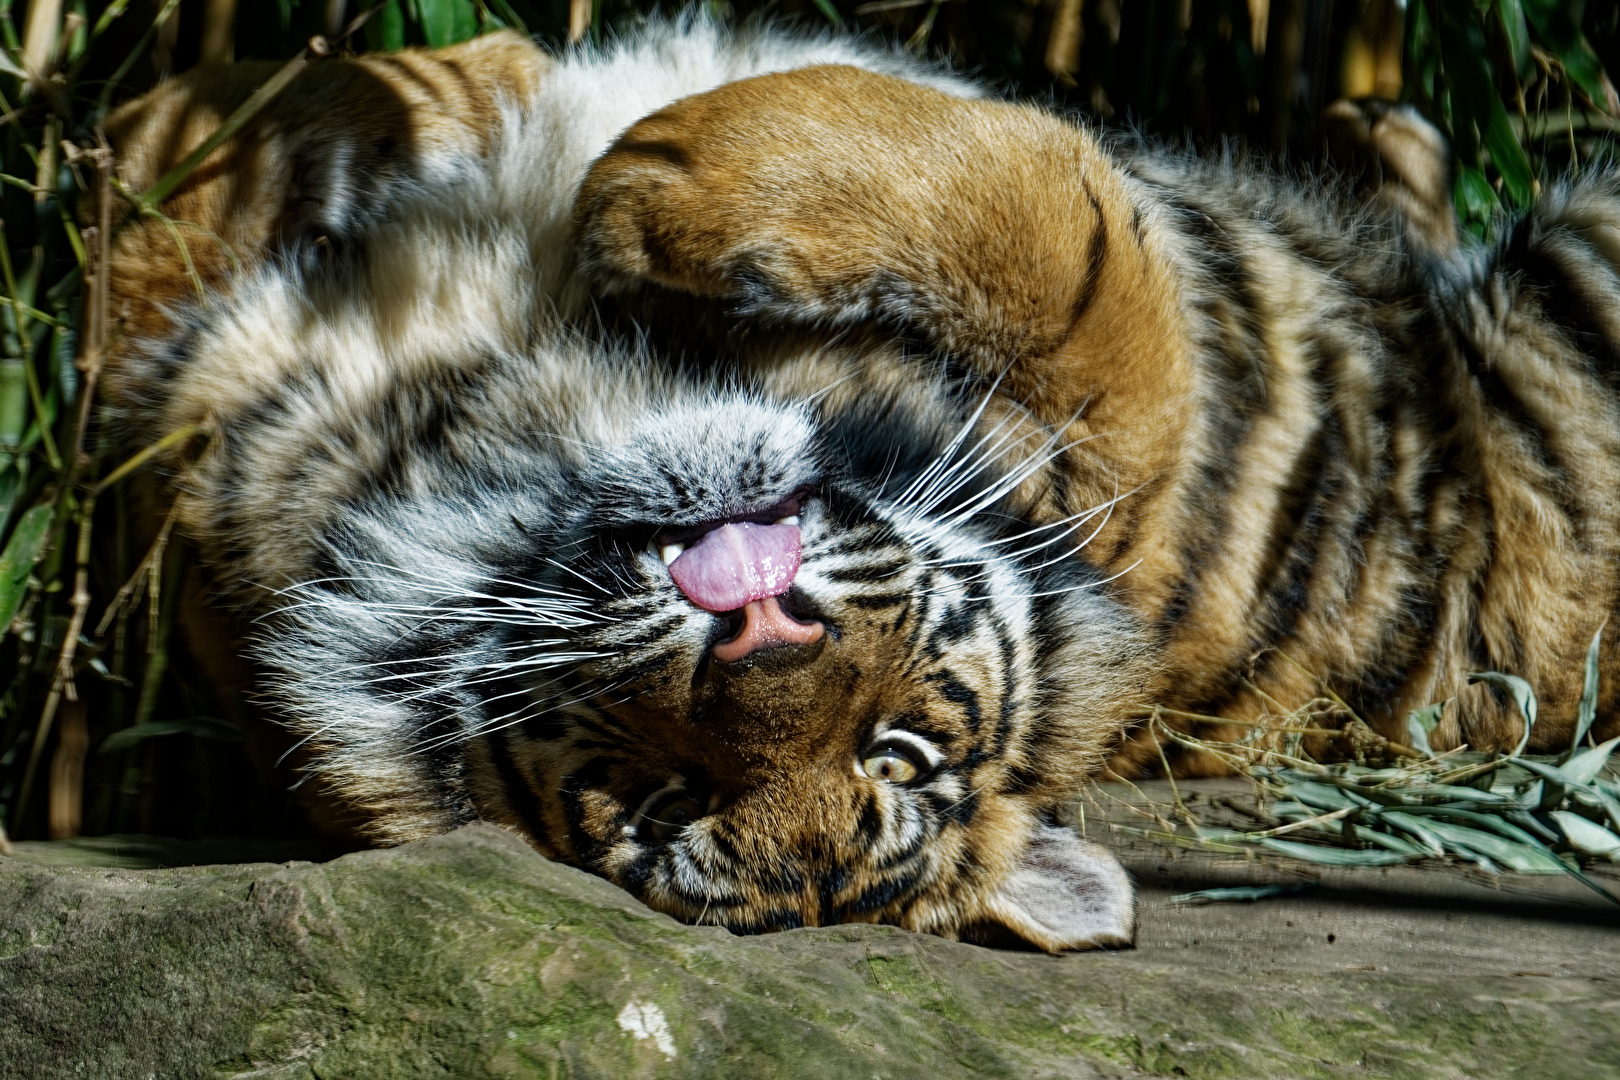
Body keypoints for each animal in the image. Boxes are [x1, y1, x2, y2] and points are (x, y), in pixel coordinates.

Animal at [97, 17, 1620, 950]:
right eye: (658, 798)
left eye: (897, 752)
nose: (756, 627)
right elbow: (161, 210)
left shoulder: (1149, 450)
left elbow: (1078, 243)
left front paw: (646, 172)